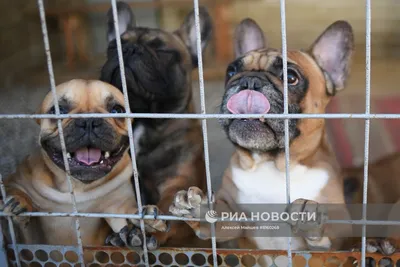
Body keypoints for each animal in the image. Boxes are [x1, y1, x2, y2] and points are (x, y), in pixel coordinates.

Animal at [0, 79, 169, 253]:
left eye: (117, 110)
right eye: (58, 110)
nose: (89, 121)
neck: (77, 187)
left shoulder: (118, 204)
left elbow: (128, 212)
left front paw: (144, 218)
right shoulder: (19, 181)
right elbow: (14, 192)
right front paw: (18, 201)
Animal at [169, 18, 354, 264]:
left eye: (291, 78)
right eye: (231, 70)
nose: (249, 80)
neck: (273, 164)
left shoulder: (342, 240)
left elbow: (333, 239)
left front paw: (309, 217)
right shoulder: (234, 222)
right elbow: (218, 221)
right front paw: (197, 209)